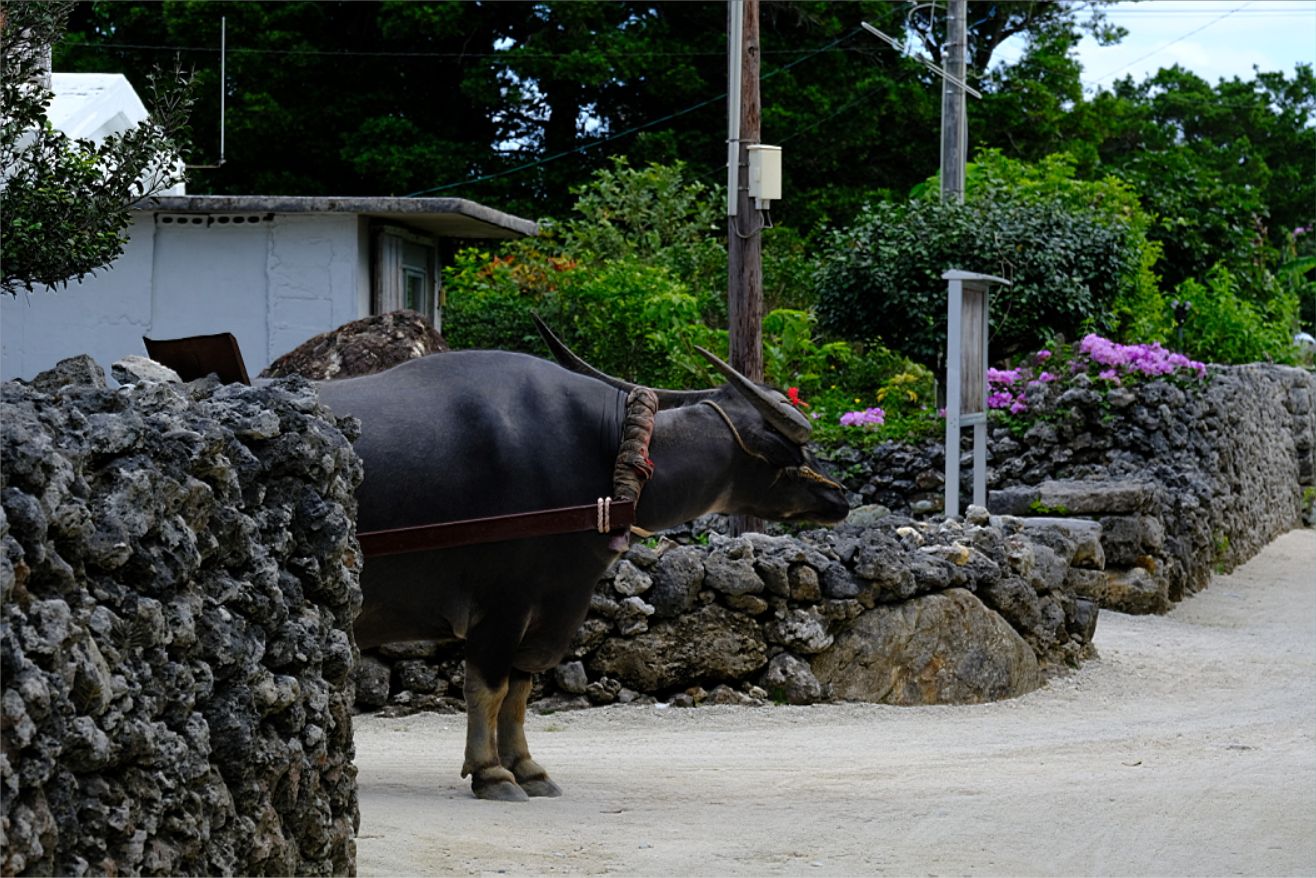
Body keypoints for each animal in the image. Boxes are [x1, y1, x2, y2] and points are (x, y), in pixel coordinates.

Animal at [321, 325, 852, 805]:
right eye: (791, 451)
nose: (841, 496)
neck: (602, 452)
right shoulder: (502, 604)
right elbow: (489, 688)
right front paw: (491, 773)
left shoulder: (553, 605)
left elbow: (519, 691)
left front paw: (529, 769)